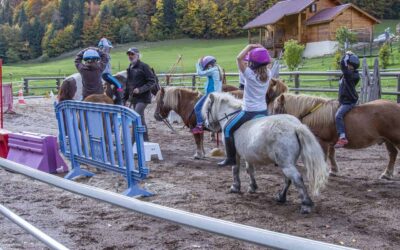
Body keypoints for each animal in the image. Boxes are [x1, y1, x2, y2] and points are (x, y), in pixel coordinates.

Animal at [202, 93, 330, 214]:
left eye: (208, 108)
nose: (207, 125)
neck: (230, 114)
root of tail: (295, 126)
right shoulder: (248, 154)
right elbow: (250, 170)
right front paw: (252, 187)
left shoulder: (236, 154)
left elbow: (235, 169)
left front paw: (235, 187)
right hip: (287, 162)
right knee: (288, 179)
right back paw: (281, 197)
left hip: (286, 164)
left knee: (296, 178)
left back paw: (306, 205)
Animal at [270, 79, 400, 179]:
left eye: (276, 109)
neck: (313, 113)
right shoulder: (330, 141)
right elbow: (331, 155)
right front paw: (334, 171)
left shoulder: (322, 141)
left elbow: (324, 156)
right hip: (388, 140)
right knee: (392, 153)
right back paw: (387, 174)